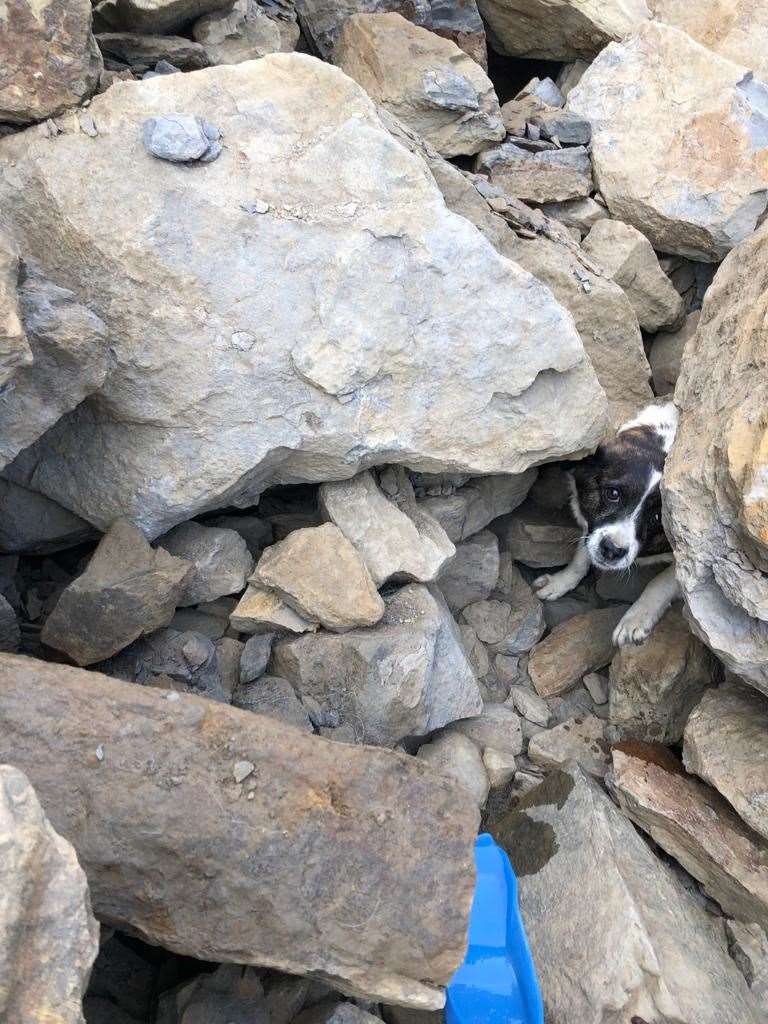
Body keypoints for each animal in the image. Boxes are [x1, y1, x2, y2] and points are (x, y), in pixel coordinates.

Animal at [536, 401, 684, 647]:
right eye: (613, 493)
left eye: (657, 518)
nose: (612, 550)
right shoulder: (591, 529)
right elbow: (581, 558)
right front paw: (560, 581)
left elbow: (660, 582)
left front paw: (635, 618)